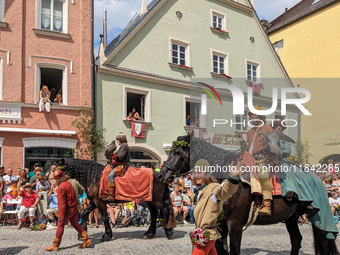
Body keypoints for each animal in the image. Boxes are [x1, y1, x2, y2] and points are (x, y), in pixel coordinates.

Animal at [161, 133, 338, 255]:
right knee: (296, 240)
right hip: (291, 217)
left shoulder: (235, 223)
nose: (162, 174)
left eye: (177, 153)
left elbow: (234, 250)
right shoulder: (221, 224)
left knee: (324, 241)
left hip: (318, 218)